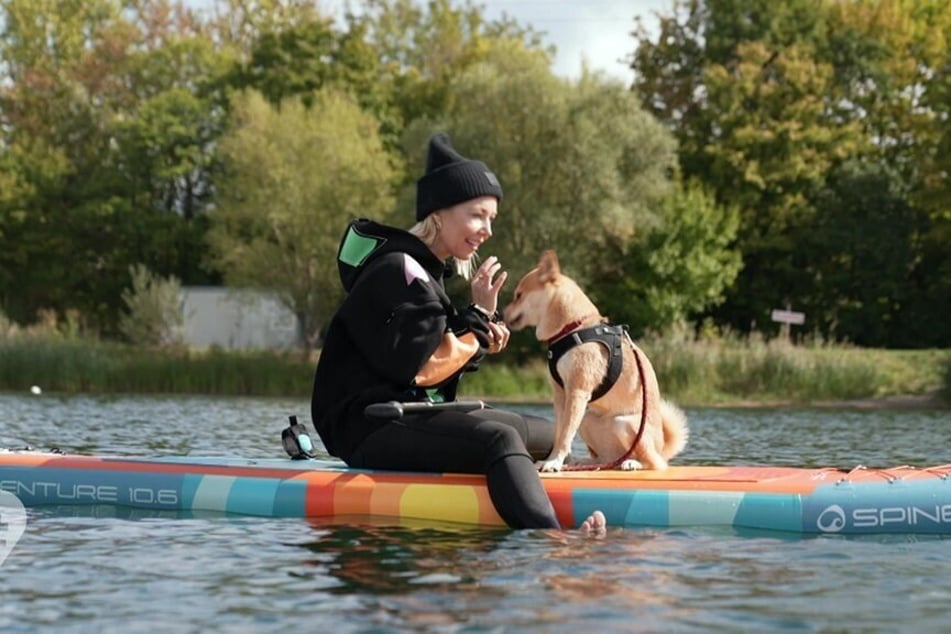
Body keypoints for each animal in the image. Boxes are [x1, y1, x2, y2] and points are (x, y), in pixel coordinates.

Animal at [502, 249, 688, 472]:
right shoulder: (561, 395)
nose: (501, 314)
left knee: (654, 462)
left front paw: (554, 462)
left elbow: (565, 435)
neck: (572, 327)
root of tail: (662, 449)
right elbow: (559, 433)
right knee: (607, 458)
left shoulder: (577, 392)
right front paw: (553, 460)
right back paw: (587, 462)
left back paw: (633, 462)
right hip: (588, 417)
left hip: (625, 423)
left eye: (518, 296)